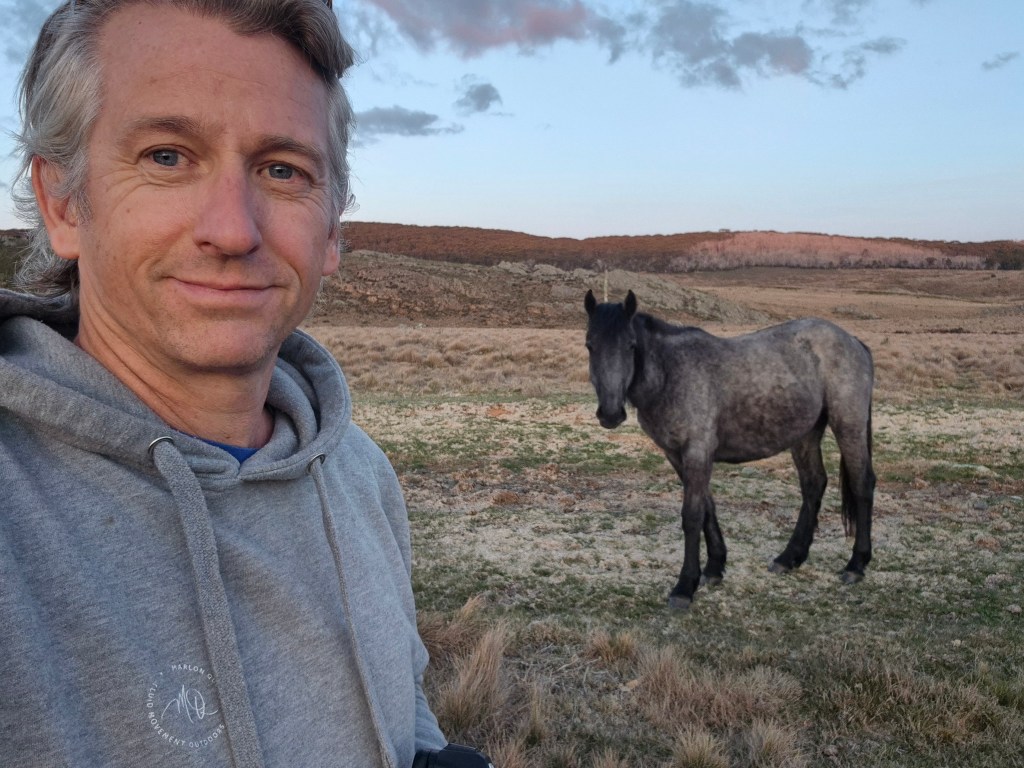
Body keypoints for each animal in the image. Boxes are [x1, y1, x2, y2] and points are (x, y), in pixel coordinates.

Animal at [584, 290, 876, 610]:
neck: (672, 372)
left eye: (631, 345)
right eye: (590, 345)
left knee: (862, 485)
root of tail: (854, 342)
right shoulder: (678, 455)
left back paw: (856, 565)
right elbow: (707, 509)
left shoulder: (697, 452)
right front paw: (714, 568)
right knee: (814, 484)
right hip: (806, 433)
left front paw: (684, 587)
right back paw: (789, 558)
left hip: (848, 426)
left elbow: (692, 516)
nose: (611, 414)